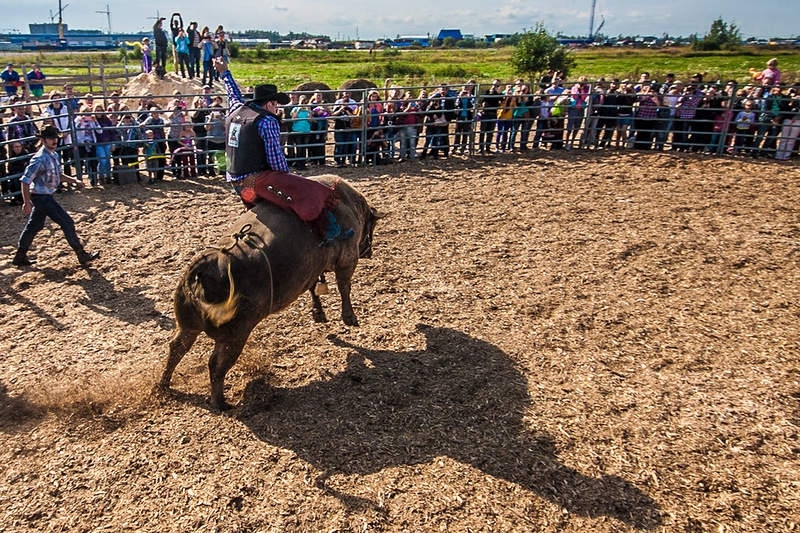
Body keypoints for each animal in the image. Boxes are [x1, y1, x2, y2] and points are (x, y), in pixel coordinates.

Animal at [158, 177, 382, 410]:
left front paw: (318, 313)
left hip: (188, 325)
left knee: (177, 347)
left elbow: (314, 288)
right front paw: (349, 317)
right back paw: (221, 403)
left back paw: (164, 384)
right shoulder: (348, 258)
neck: (347, 203)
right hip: (235, 335)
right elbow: (344, 285)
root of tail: (206, 267)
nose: (369, 251)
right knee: (216, 365)